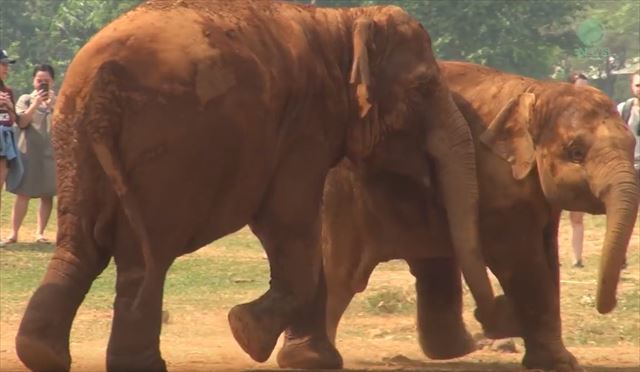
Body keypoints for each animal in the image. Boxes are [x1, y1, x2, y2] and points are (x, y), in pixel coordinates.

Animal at [15, 2, 504, 372]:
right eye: (422, 88)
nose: (491, 325)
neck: (342, 23)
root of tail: (101, 81)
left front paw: (309, 359)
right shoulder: (305, 125)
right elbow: (290, 223)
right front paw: (246, 332)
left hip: (73, 136)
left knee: (81, 245)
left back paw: (42, 356)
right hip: (166, 148)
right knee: (143, 255)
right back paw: (140, 365)